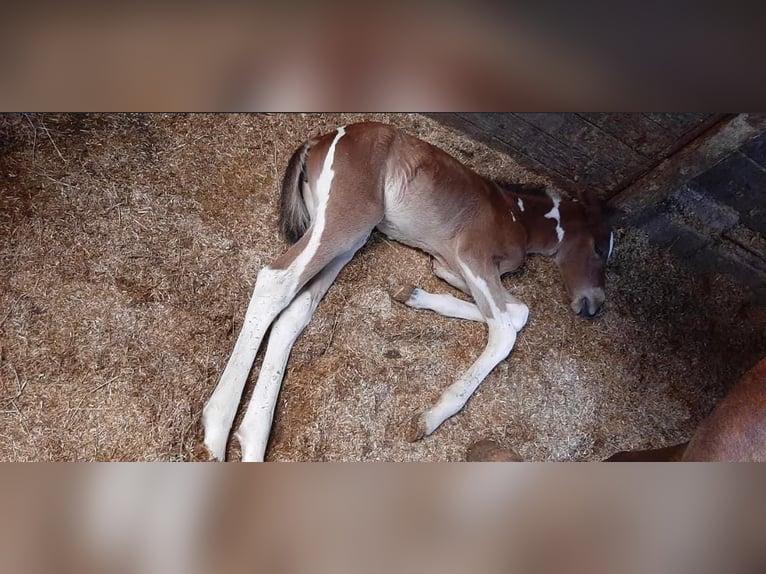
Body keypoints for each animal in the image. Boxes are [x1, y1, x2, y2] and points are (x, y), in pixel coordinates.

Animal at [201, 121, 616, 464]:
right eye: (600, 248)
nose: (594, 305)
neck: (516, 216)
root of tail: (321, 137)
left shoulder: (450, 265)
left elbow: (517, 312)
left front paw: (412, 294)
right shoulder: (472, 257)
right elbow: (505, 329)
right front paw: (431, 417)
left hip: (350, 238)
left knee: (295, 312)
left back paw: (253, 438)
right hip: (349, 217)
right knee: (276, 281)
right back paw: (217, 431)